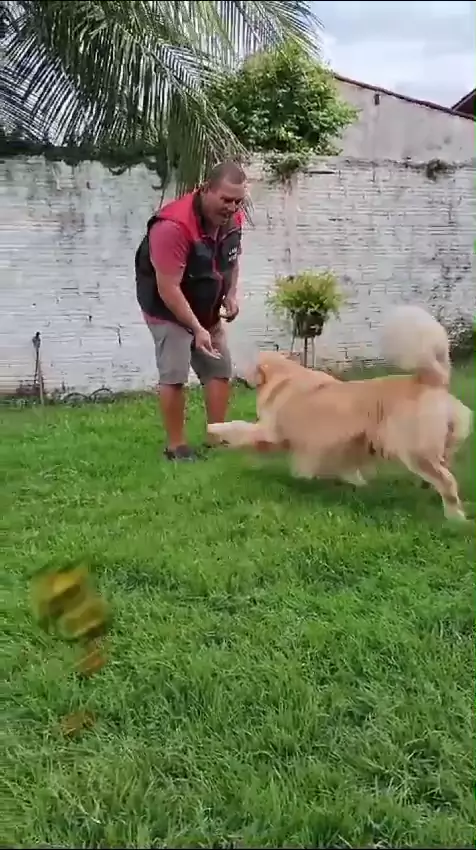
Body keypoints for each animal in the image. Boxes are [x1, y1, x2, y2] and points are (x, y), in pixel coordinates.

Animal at [208, 306, 472, 520]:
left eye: (249, 365)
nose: (236, 375)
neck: (284, 376)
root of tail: (432, 380)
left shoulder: (271, 433)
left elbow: (239, 427)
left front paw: (215, 429)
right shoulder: (344, 443)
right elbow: (347, 466)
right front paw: (355, 482)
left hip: (415, 451)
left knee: (447, 481)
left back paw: (454, 517)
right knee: (445, 468)